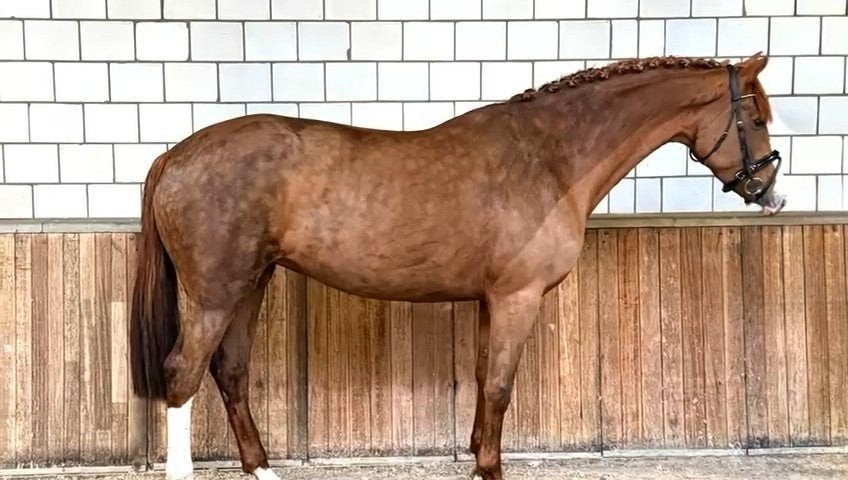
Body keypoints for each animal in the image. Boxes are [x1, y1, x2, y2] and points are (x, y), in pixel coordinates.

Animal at [130, 53, 786, 480]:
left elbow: (481, 378)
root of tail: (175, 155)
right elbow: (498, 386)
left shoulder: (492, 300)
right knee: (183, 374)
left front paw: (476, 458)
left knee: (230, 371)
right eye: (755, 119)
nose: (771, 193)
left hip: (250, 284)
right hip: (215, 293)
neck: (550, 158)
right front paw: (490, 469)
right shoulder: (519, 297)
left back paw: (261, 468)